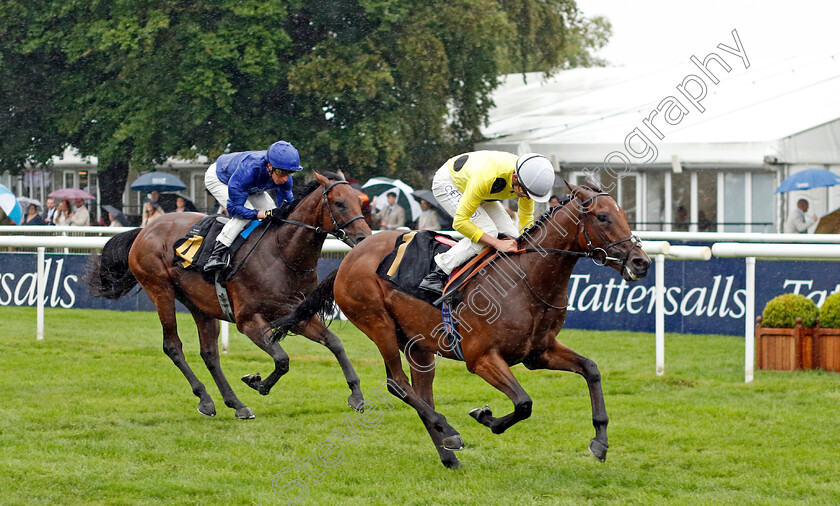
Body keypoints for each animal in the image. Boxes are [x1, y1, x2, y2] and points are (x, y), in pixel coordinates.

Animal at [88, 172, 370, 418]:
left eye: (360, 202)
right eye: (339, 203)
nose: (364, 238)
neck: (282, 253)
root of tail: (144, 230)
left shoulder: (297, 313)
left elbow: (334, 343)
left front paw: (356, 394)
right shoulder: (248, 320)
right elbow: (282, 359)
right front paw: (257, 382)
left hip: (198, 304)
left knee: (209, 353)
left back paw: (236, 404)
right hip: (160, 290)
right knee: (172, 346)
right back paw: (205, 398)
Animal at [274, 182, 648, 466]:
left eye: (623, 215)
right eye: (603, 217)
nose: (641, 262)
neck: (527, 280)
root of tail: (351, 255)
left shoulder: (538, 352)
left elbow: (591, 369)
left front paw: (600, 442)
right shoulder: (481, 358)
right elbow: (523, 403)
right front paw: (487, 417)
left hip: (419, 345)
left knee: (420, 391)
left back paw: (448, 453)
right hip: (377, 323)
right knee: (397, 383)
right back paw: (450, 432)